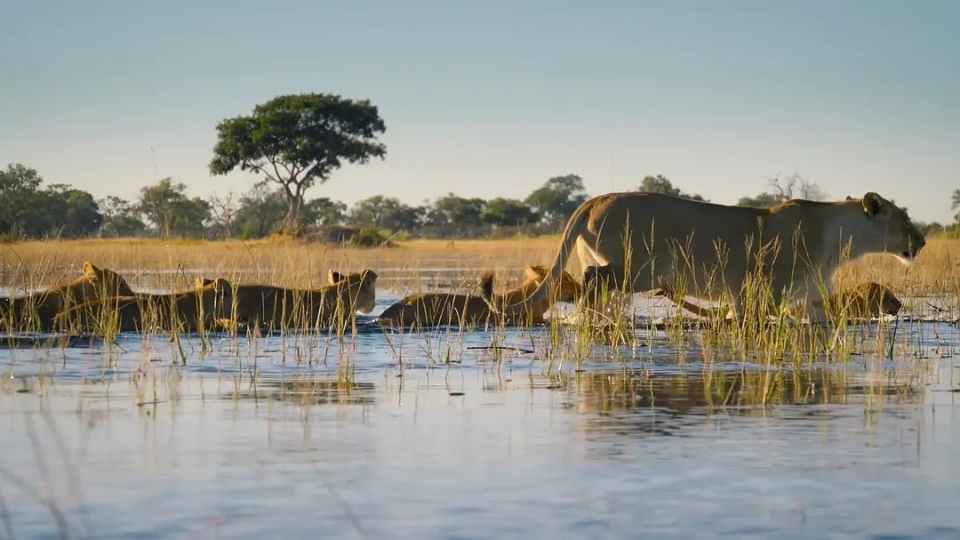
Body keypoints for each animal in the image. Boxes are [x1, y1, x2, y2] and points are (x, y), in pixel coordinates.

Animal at [492, 191, 928, 324]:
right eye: (905, 219)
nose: (922, 241)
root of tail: (595, 198)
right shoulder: (762, 289)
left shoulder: (809, 298)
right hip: (641, 268)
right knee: (592, 281)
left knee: (592, 288)